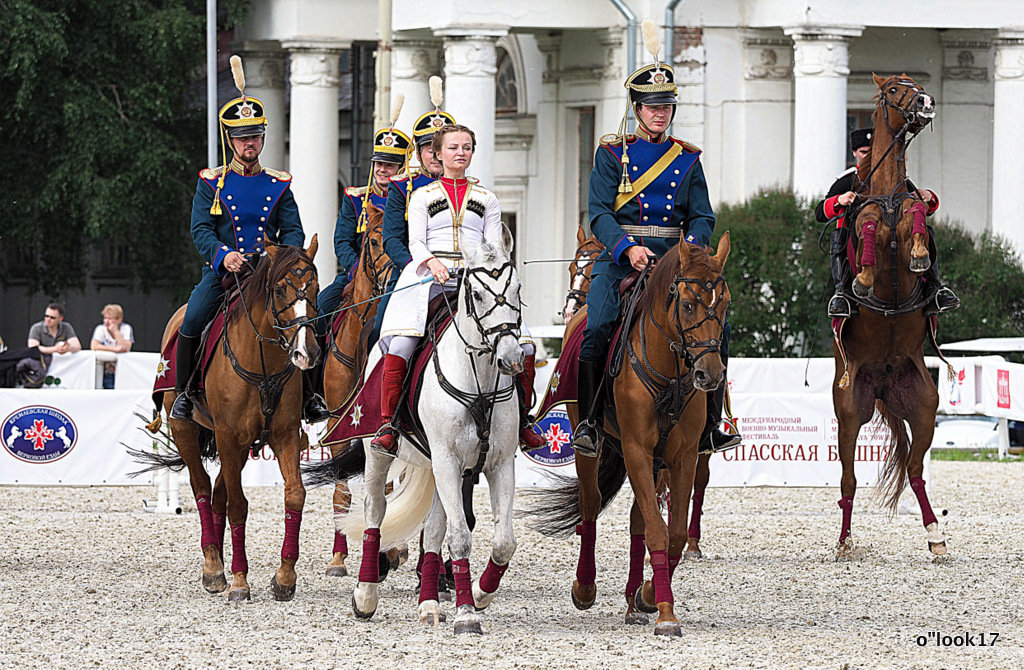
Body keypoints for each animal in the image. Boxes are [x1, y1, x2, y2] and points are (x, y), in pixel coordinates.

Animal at [142, 237, 319, 602]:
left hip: (238, 447)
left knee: (218, 494)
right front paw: (240, 580)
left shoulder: (284, 436)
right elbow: (238, 505)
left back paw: (219, 563)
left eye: (316, 287)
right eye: (279, 289)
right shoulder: (227, 435)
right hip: (187, 431)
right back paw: (213, 566)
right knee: (202, 488)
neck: (263, 361)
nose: (305, 352)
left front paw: (284, 576)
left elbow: (294, 494)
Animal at [348, 225, 524, 635]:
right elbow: (459, 537)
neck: (479, 382)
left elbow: (502, 541)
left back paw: (429, 604)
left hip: (440, 469)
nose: (511, 359)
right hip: (380, 454)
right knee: (375, 511)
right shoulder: (446, 460)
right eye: (477, 294)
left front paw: (479, 595)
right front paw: (466, 615)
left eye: (517, 288)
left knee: (432, 528)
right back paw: (366, 596)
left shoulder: (497, 464)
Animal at [532, 236, 733, 639]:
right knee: (591, 504)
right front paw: (665, 613)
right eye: (687, 304)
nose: (709, 373)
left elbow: (671, 533)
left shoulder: (681, 457)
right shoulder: (637, 449)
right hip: (593, 449)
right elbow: (657, 530)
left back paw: (632, 599)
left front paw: (650, 596)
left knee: (636, 518)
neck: (670, 370)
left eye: (725, 302)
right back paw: (585, 587)